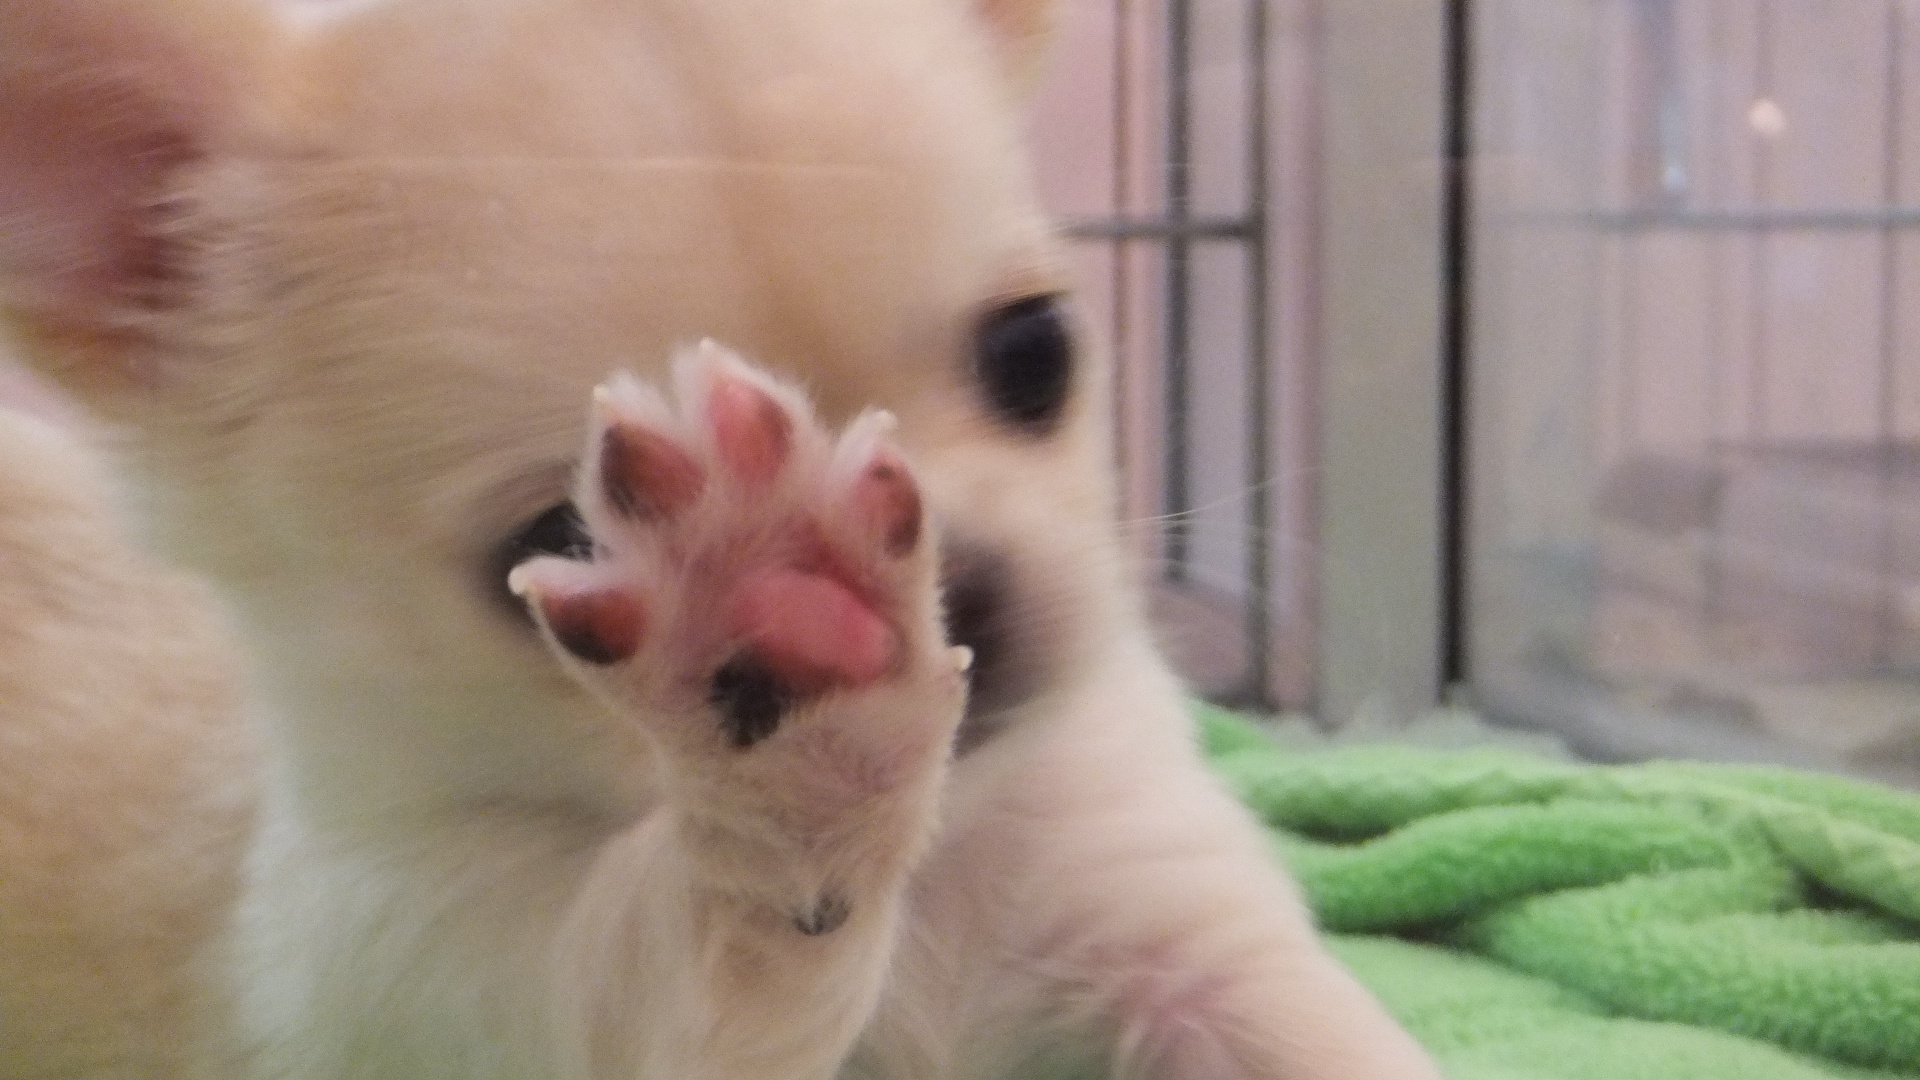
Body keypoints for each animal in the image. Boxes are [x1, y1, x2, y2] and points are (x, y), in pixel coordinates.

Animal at [0, 0, 1443, 1077]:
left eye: (1039, 352)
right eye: (565, 536)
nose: (962, 592)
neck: (940, 860)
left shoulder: (1179, 932)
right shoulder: (433, 962)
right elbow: (688, 951)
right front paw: (794, 731)